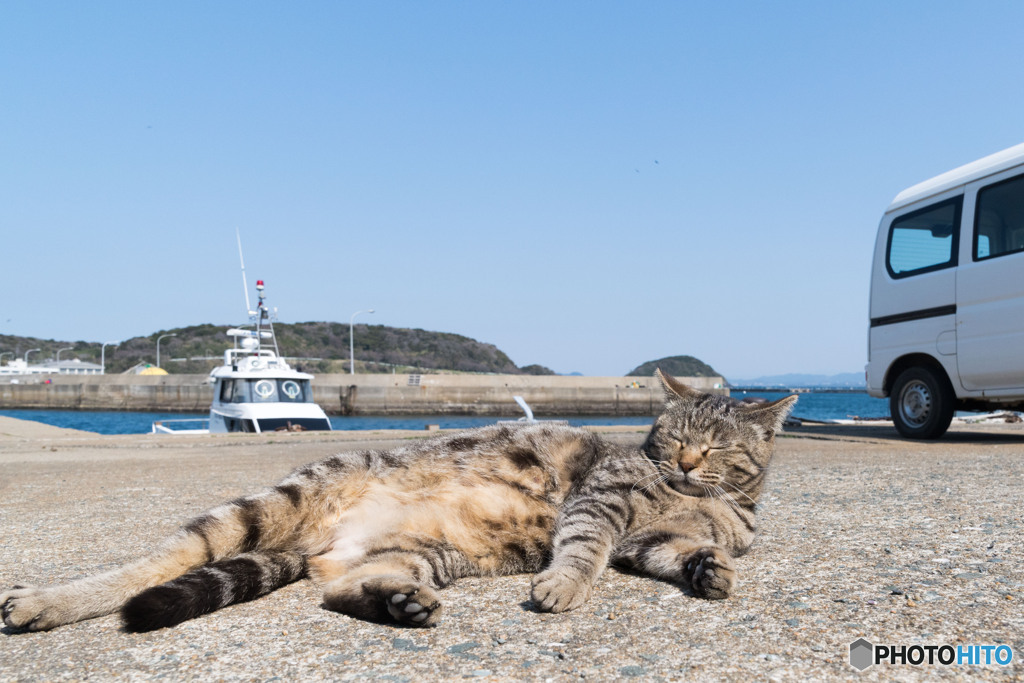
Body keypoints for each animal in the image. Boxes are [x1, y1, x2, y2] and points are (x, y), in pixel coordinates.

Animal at [0, 370, 794, 634]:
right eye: (675, 437)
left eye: (716, 446)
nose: (684, 461)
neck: (716, 498)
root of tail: (314, 539)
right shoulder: (601, 502)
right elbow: (583, 548)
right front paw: (564, 586)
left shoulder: (650, 540)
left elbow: (680, 551)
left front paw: (709, 569)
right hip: (265, 504)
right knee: (156, 562)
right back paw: (46, 601)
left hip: (420, 552)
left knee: (338, 587)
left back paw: (398, 604)